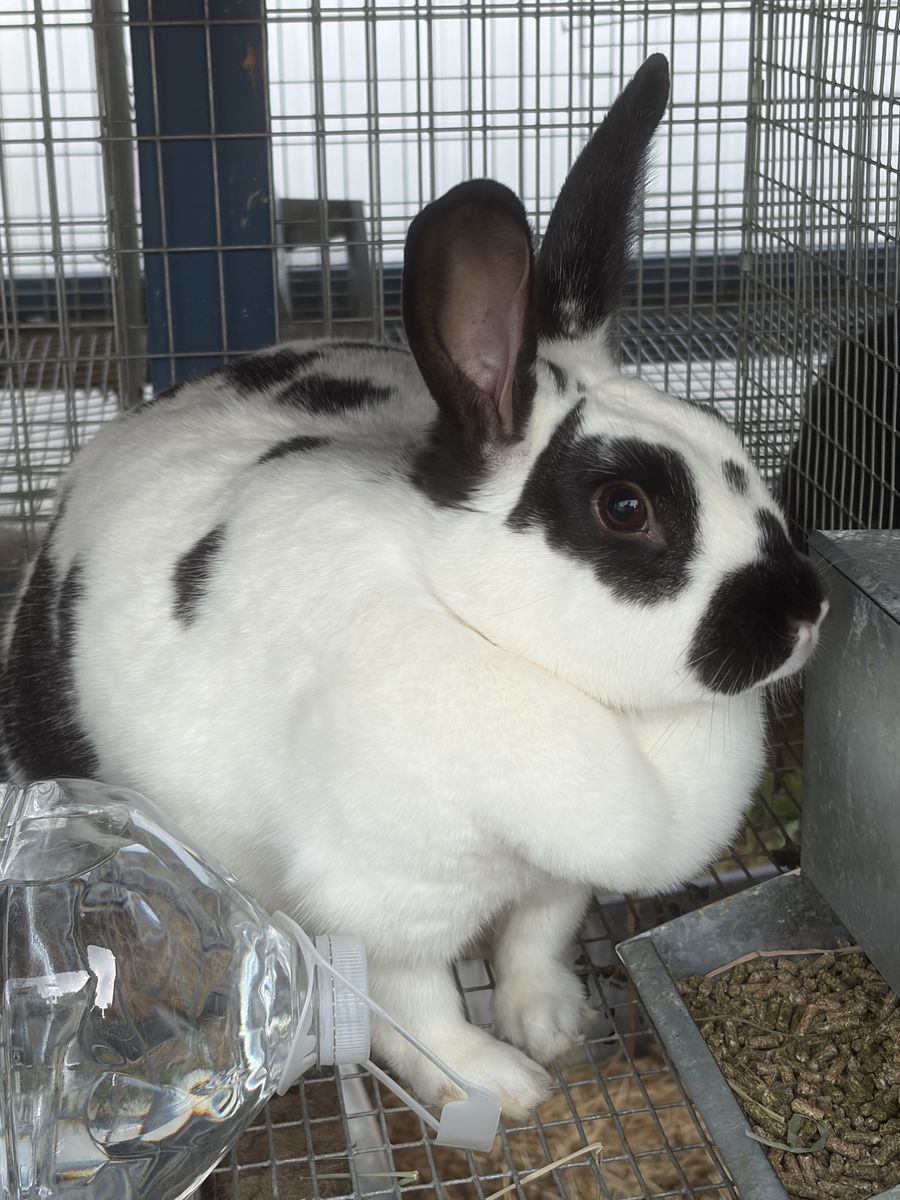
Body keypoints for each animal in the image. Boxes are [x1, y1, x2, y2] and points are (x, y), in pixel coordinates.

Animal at [0, 55, 827, 1120]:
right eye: (626, 506)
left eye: (732, 443)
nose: (806, 609)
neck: (482, 629)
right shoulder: (388, 893)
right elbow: (415, 1000)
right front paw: (498, 1086)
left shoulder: (555, 881)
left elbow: (535, 939)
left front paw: (551, 1024)